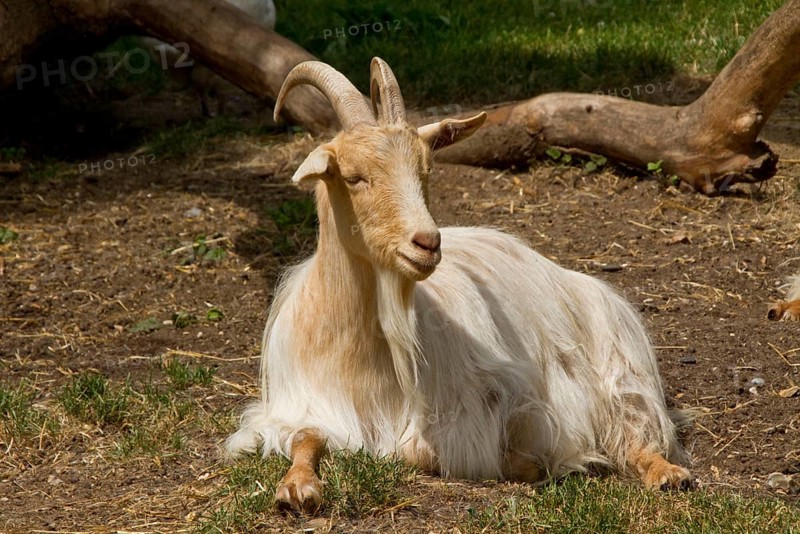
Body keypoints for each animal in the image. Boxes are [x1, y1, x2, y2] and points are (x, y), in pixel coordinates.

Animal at [226, 57, 693, 512]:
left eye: (426, 171)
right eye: (355, 177)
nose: (427, 243)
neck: (358, 353)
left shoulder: (482, 401)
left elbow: (418, 451)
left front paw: (537, 462)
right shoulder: (294, 406)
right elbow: (305, 436)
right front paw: (296, 489)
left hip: (619, 369)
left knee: (634, 433)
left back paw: (668, 474)